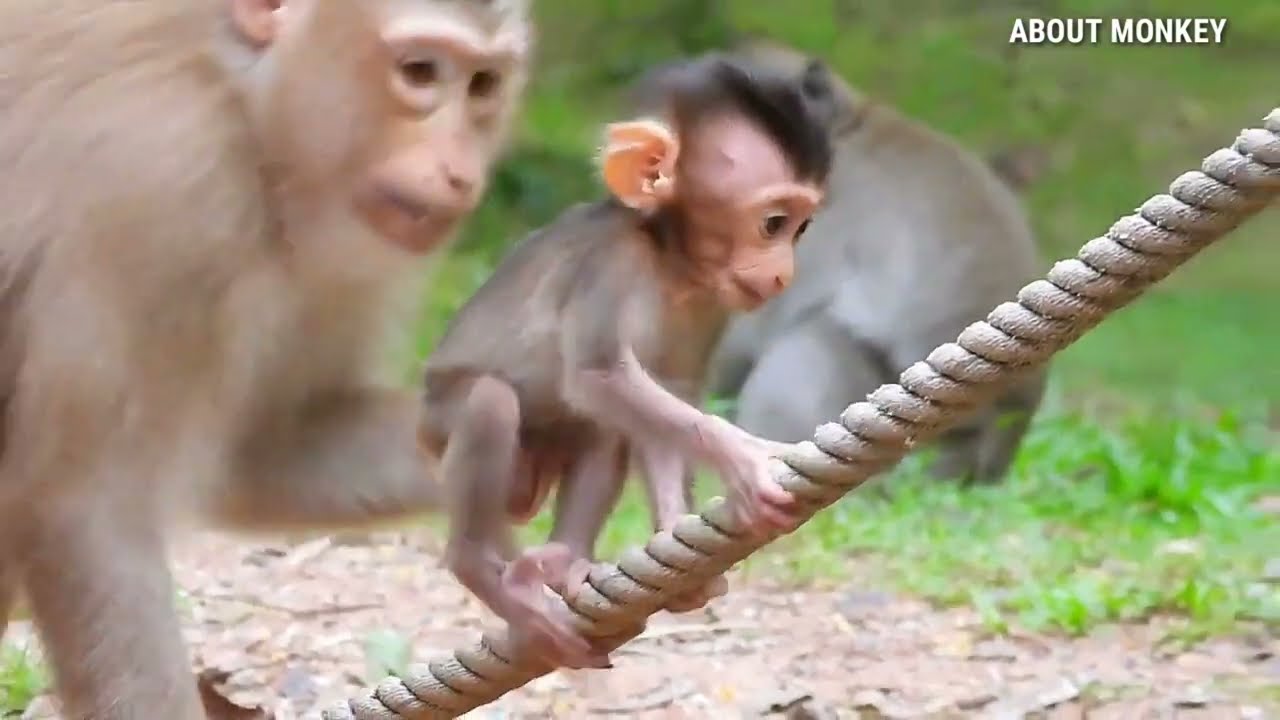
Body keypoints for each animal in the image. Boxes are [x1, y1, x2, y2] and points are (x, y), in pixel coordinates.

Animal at [0, 0, 529, 717]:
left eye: (482, 85)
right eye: (420, 71)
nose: (459, 172)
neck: (244, 99)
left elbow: (261, 448)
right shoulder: (162, 195)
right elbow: (88, 505)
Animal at [420, 52, 836, 670]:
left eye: (800, 227)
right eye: (773, 224)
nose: (784, 273)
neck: (666, 259)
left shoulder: (711, 301)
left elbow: (668, 390)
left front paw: (673, 532)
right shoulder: (608, 265)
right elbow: (599, 375)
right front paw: (743, 454)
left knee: (604, 431)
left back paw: (564, 560)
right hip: (441, 421)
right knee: (491, 401)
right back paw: (485, 573)